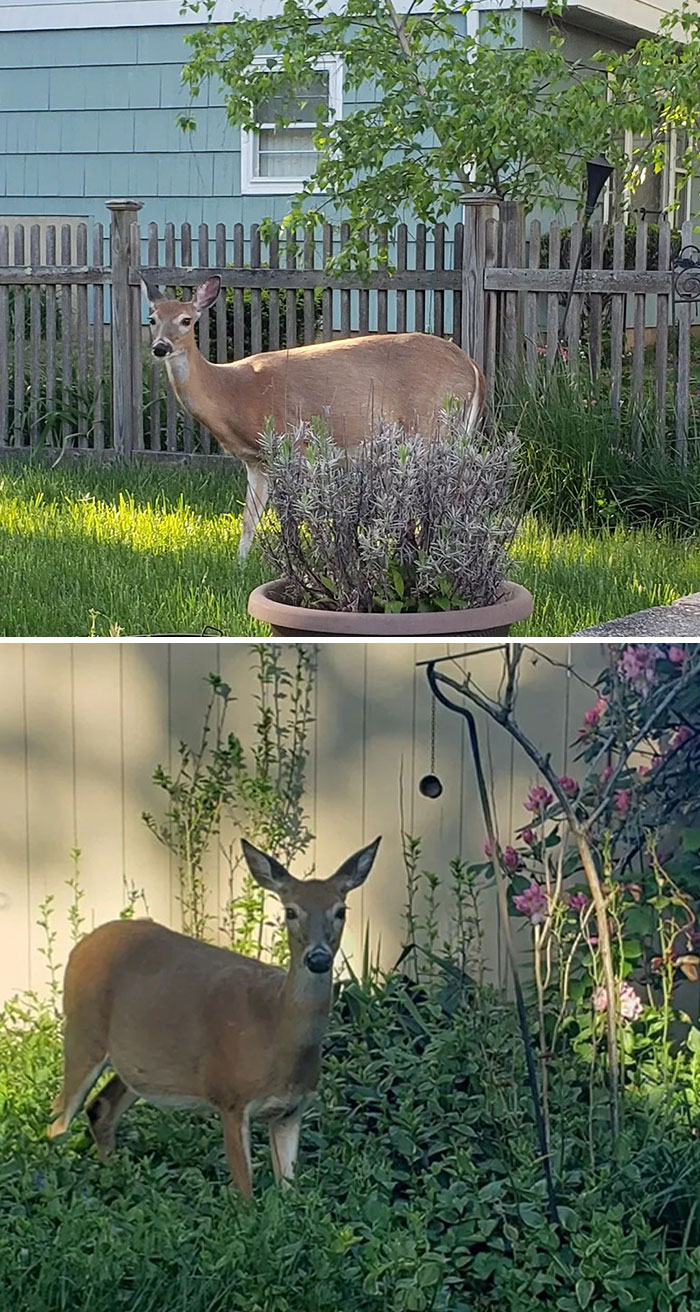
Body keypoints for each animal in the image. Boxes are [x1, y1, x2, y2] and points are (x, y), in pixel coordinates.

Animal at [46, 839, 382, 1201]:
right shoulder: (231, 1097)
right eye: (290, 911)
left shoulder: (291, 1111)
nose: (318, 958)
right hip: (82, 1032)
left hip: (137, 1063)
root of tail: (80, 945)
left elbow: (290, 1194)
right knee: (58, 1121)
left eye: (341, 910)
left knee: (100, 1109)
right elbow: (245, 1197)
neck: (276, 1029)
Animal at [142, 276, 487, 558]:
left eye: (186, 320)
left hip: (431, 427)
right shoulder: (255, 461)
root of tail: (473, 368)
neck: (233, 393)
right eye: (153, 319)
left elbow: (296, 515)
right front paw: (241, 564)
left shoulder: (292, 443)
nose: (160, 347)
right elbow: (249, 519)